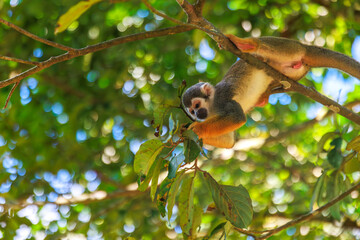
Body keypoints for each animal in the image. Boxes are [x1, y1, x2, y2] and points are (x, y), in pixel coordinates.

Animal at [183, 34, 360, 148]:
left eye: (197, 106)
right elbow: (228, 142)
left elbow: (237, 118)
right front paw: (182, 132)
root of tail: (304, 47)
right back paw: (265, 96)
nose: (197, 115)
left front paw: (195, 129)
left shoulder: (223, 97)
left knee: (266, 47)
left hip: (292, 49)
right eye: (191, 111)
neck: (212, 106)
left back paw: (248, 45)